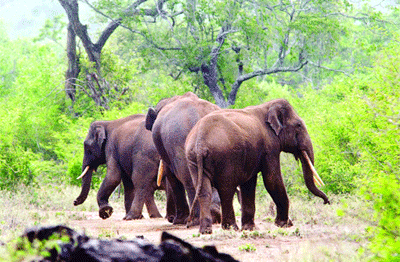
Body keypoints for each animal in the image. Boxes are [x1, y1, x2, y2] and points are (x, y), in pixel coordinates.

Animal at [145, 92, 222, 225]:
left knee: (187, 176)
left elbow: (171, 174)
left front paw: (178, 221)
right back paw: (214, 216)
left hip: (179, 138)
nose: (170, 218)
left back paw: (194, 221)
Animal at [186, 99, 330, 234]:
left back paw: (206, 231)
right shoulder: (270, 147)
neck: (267, 107)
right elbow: (272, 180)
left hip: (193, 160)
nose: (327, 202)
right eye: (298, 125)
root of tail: (200, 143)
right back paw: (231, 228)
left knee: (204, 191)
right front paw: (284, 224)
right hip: (224, 156)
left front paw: (250, 228)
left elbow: (249, 183)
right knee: (226, 189)